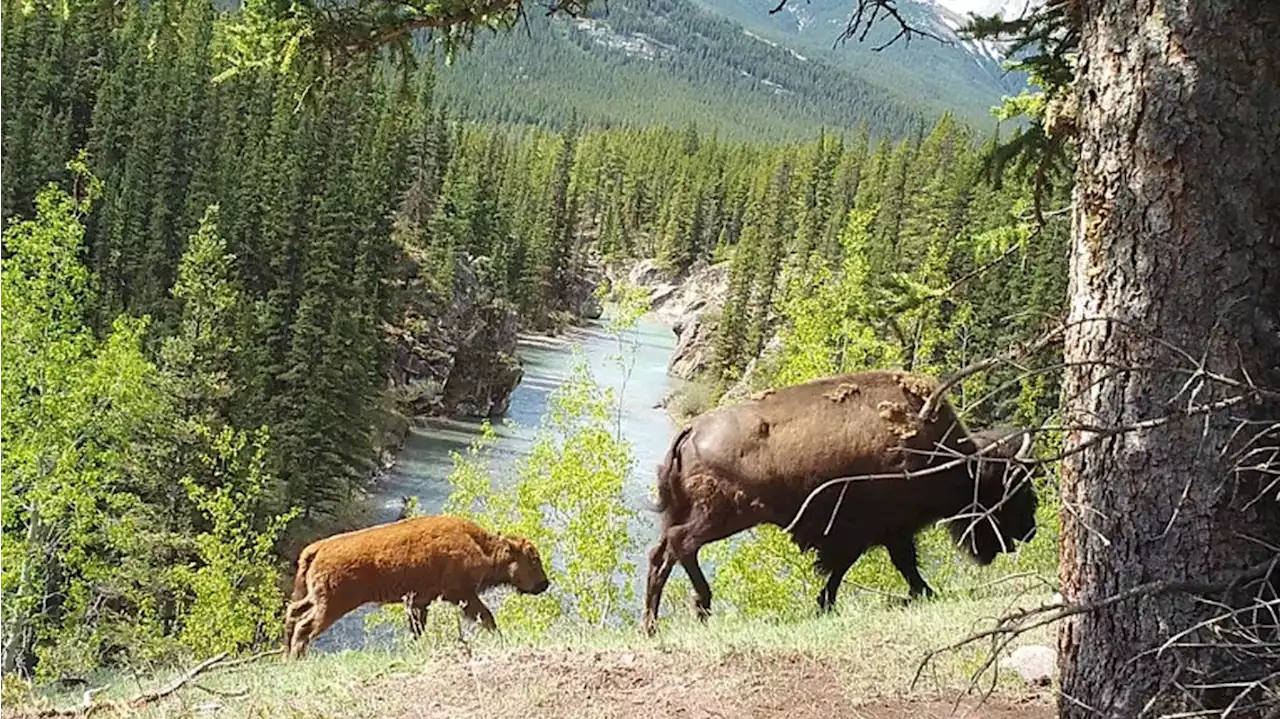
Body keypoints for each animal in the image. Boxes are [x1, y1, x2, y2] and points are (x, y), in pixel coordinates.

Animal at [285, 511, 550, 660]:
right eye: (532, 559)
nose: (544, 584)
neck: (480, 545)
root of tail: (317, 547)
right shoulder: (462, 595)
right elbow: (486, 617)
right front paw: (500, 639)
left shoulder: (419, 602)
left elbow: (417, 629)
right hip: (332, 605)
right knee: (305, 627)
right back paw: (297, 659)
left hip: (314, 598)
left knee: (293, 612)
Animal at [640, 368, 1039, 632]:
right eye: (1008, 489)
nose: (1029, 530)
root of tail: (691, 429)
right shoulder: (878, 530)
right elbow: (889, 564)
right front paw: (924, 592)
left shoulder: (873, 533)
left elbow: (864, 566)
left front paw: (827, 603)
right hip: (723, 516)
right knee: (682, 545)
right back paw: (701, 607)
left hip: (686, 513)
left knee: (661, 555)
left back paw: (652, 626)